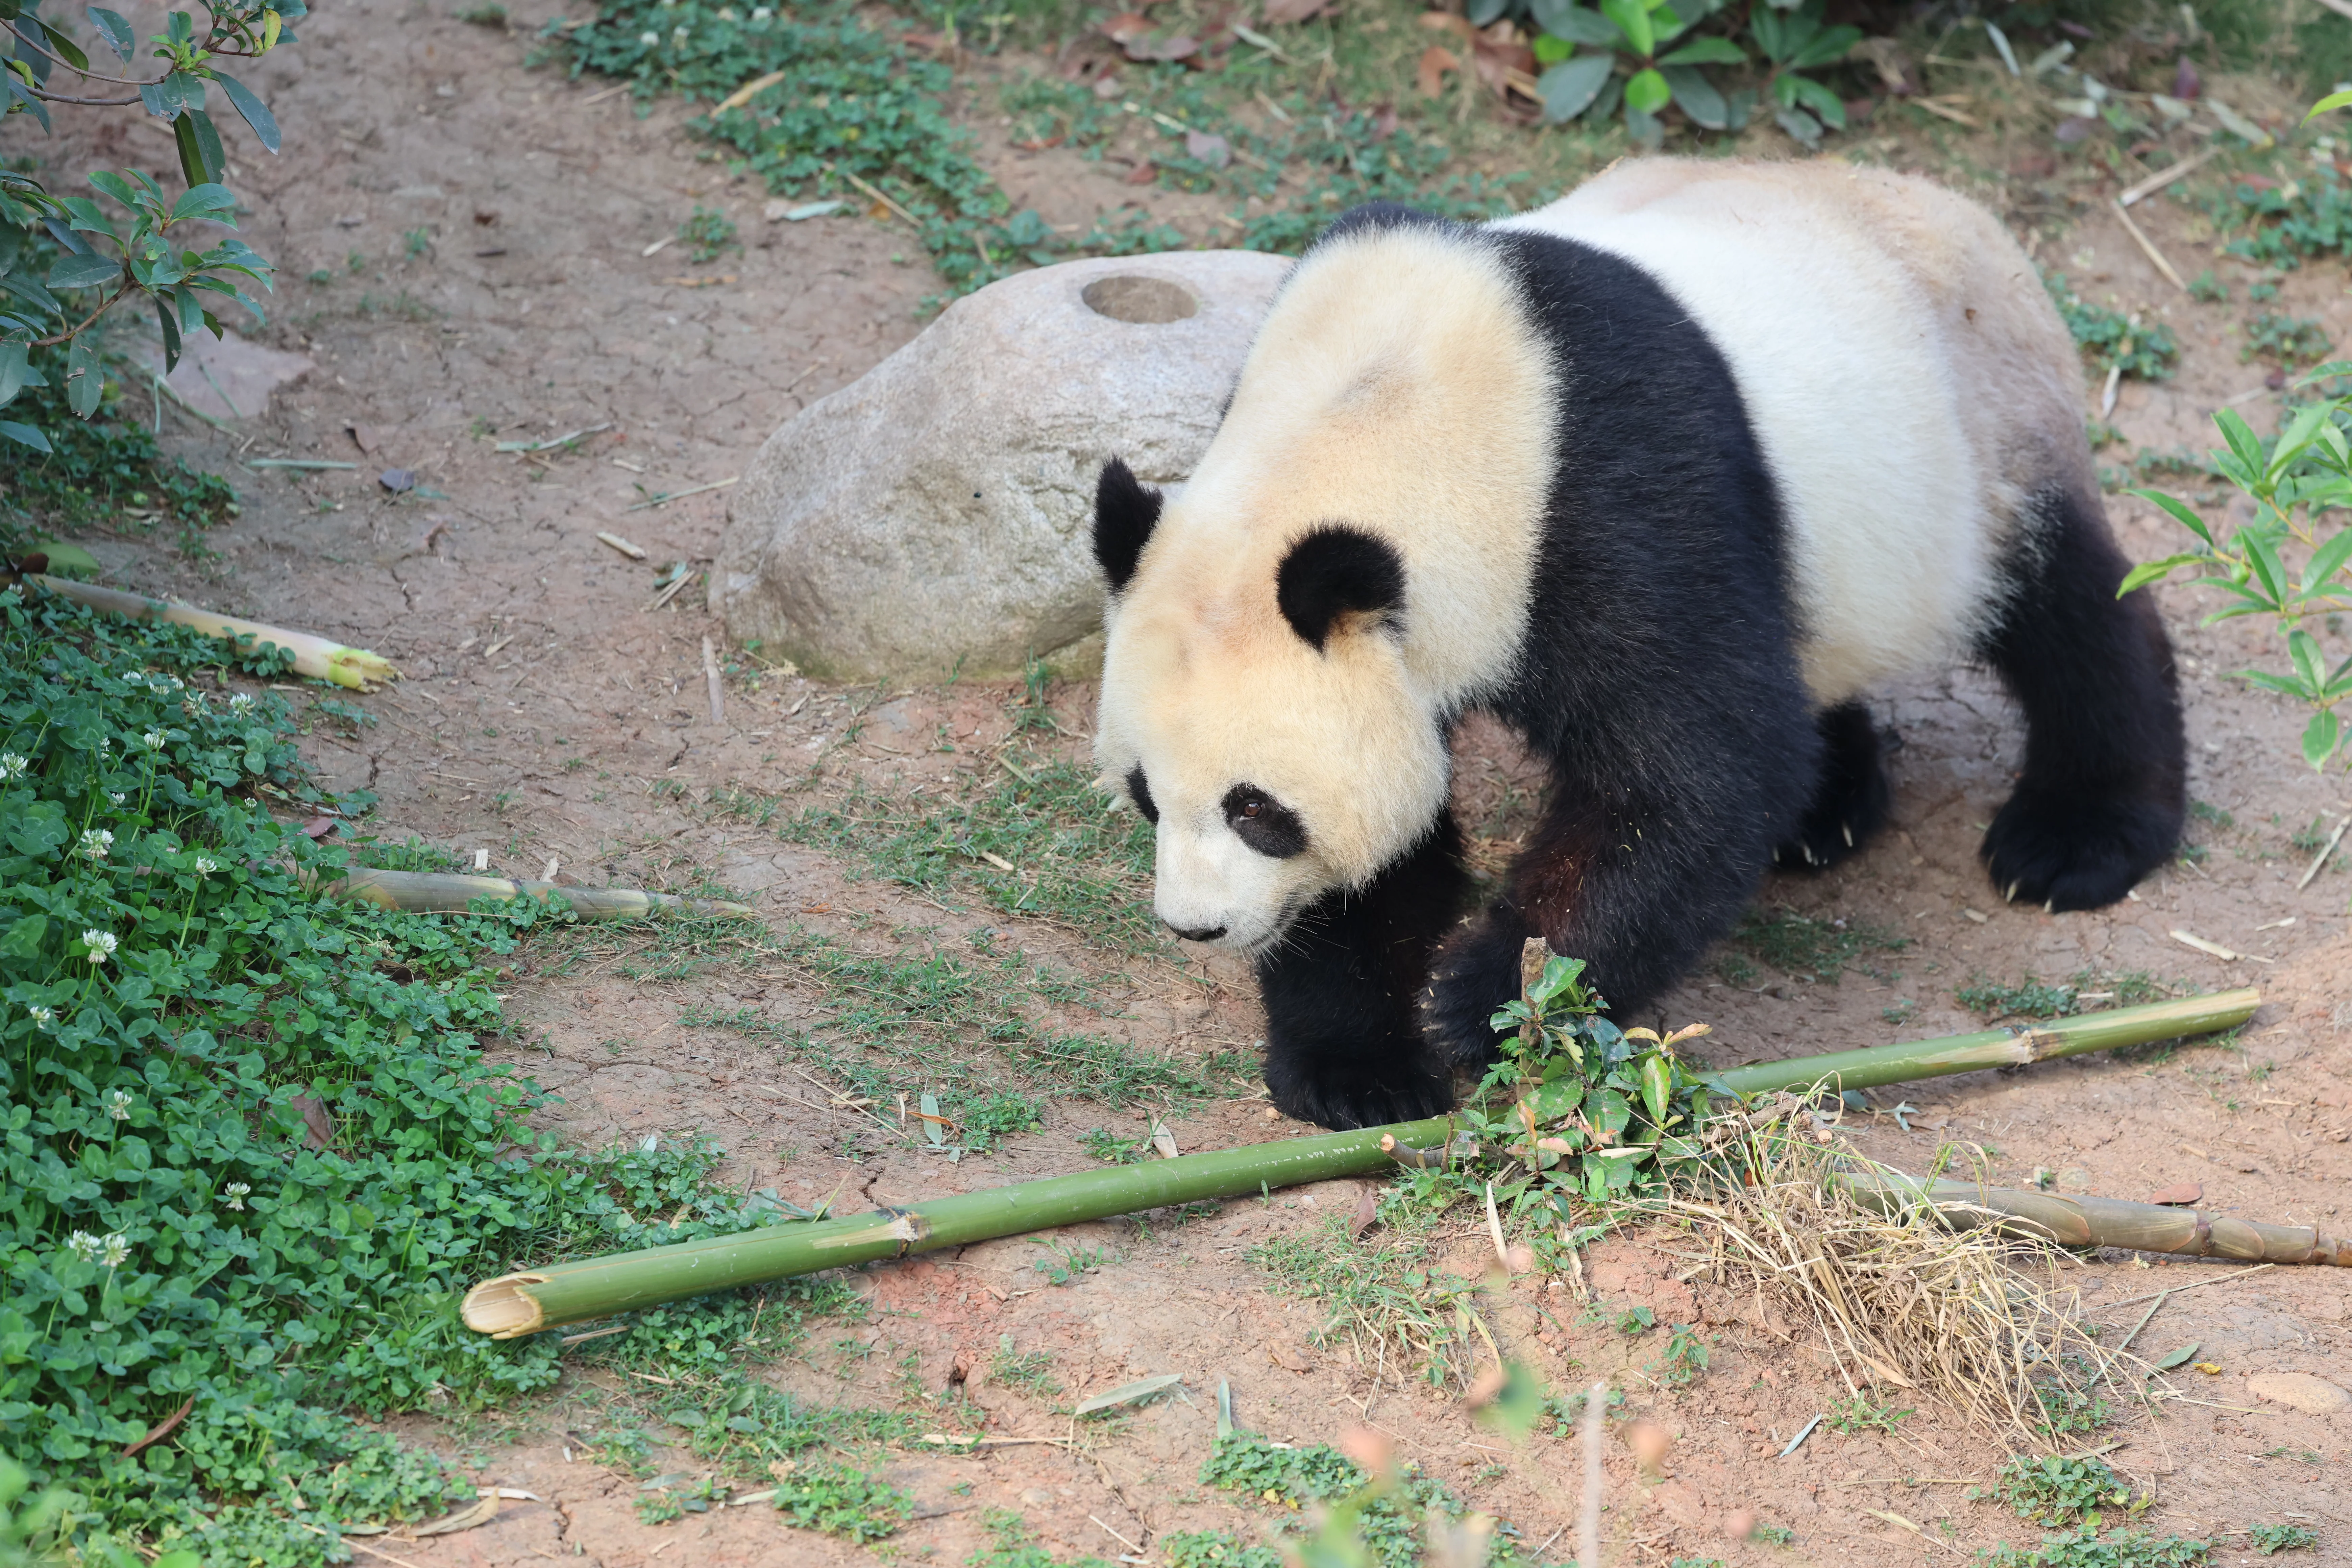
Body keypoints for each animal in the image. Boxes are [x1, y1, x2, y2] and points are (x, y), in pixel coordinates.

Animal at [1088, 157, 2186, 1132]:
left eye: (1256, 810)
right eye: (1146, 794)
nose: (1196, 925)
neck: (1382, 403)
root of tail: (1966, 213)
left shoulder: (1602, 499)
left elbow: (1692, 773)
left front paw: (1491, 1003)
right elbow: (1391, 853)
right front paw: (1357, 1071)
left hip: (1986, 437)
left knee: (2072, 613)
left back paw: (2073, 838)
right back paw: (1824, 812)